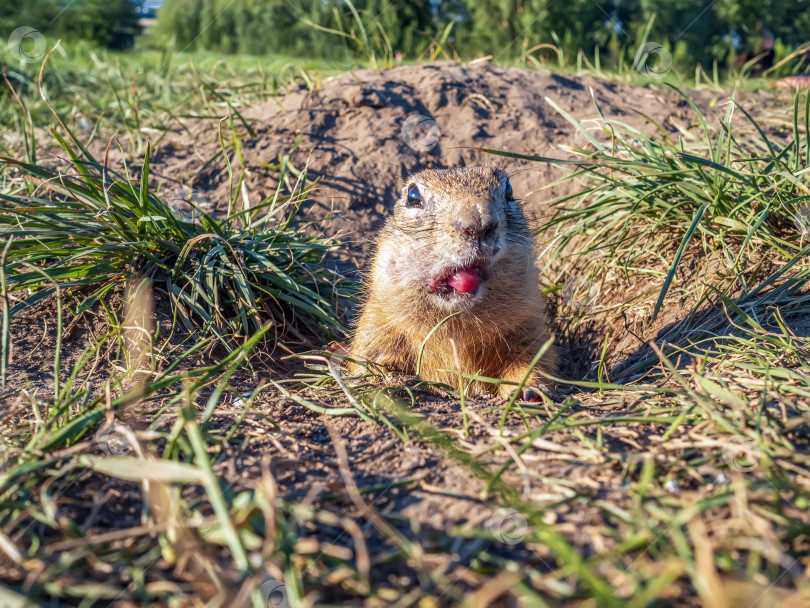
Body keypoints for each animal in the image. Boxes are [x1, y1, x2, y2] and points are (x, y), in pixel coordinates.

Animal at [348, 165, 556, 400]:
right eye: (413, 196)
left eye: (509, 190)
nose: (479, 224)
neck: (454, 329)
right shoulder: (378, 326)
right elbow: (369, 358)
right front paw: (389, 378)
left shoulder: (529, 330)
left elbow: (531, 361)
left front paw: (526, 391)